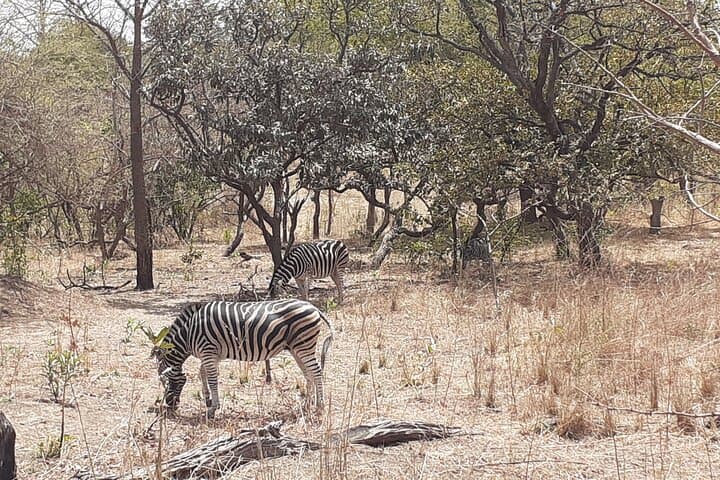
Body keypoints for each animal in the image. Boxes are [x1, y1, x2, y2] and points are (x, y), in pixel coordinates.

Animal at [152, 299, 334, 419]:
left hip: (303, 345)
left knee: (316, 372)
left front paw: (213, 408)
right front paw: (208, 400)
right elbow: (202, 373)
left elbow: (212, 379)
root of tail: (313, 307)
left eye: (163, 380)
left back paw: (320, 406)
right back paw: (307, 404)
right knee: (308, 373)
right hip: (297, 348)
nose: (170, 406)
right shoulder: (212, 355)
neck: (189, 332)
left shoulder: (208, 351)